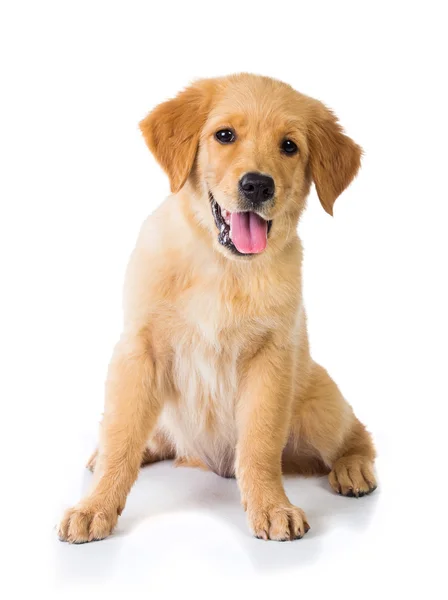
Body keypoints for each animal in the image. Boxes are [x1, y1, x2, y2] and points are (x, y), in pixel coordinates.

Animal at [58, 74, 374, 544]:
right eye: (224, 135)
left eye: (289, 146)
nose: (258, 185)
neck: (222, 266)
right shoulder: (138, 351)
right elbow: (121, 435)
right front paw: (95, 505)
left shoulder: (271, 359)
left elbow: (260, 444)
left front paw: (271, 506)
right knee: (148, 436)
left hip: (321, 410)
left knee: (355, 433)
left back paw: (353, 469)